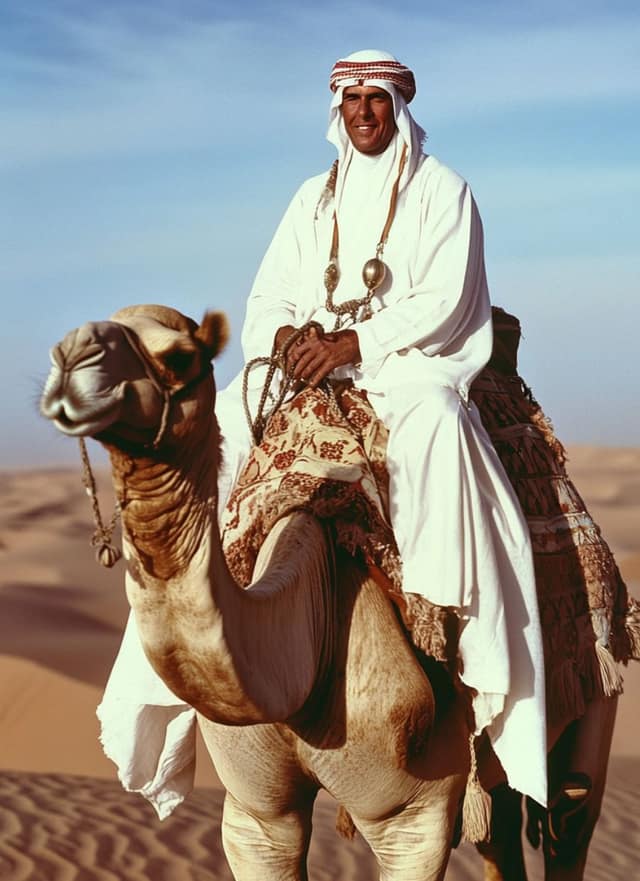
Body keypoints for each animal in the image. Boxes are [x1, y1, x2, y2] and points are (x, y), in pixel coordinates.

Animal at [40, 303, 625, 881]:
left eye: (181, 356)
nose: (70, 356)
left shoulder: (414, 817)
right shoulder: (257, 816)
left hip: (594, 688)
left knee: (569, 818)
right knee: (499, 830)